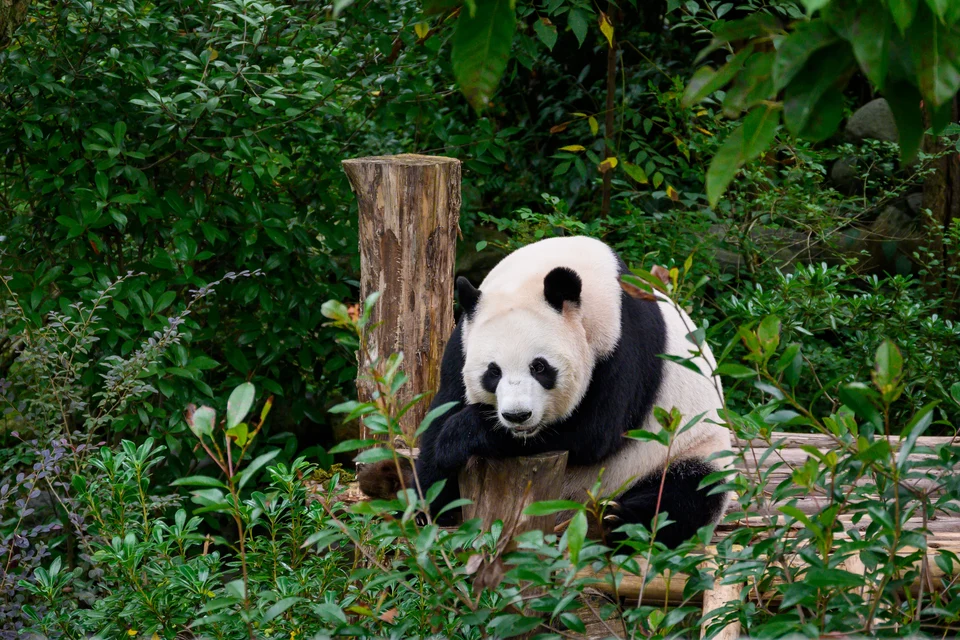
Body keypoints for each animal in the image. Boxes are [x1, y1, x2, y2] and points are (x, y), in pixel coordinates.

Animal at [359, 236, 733, 549]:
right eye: (493, 372)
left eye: (539, 367)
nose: (517, 416)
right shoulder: (463, 339)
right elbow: (441, 415)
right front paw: (423, 501)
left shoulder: (625, 341)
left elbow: (594, 432)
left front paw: (461, 435)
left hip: (684, 449)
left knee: (686, 495)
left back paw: (616, 522)